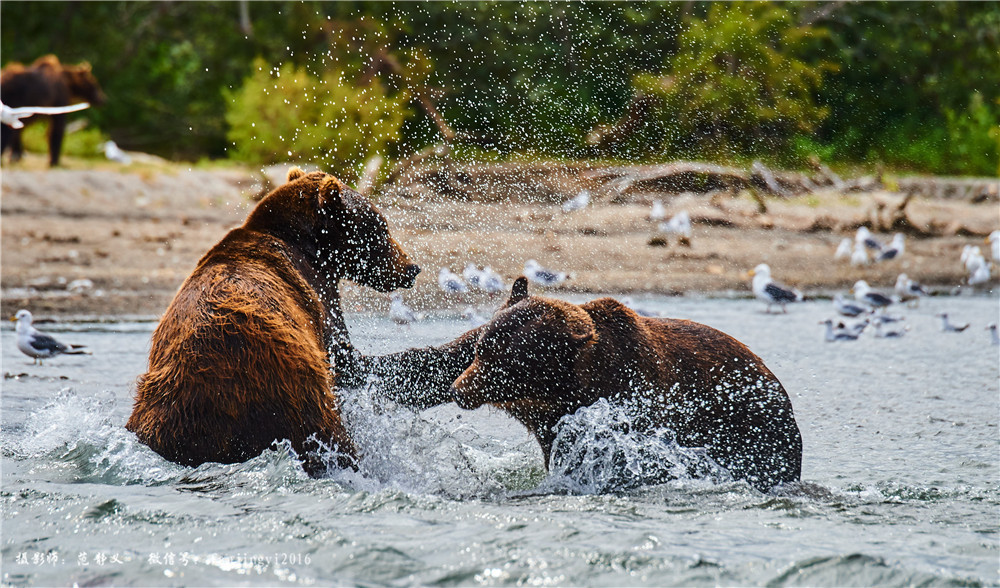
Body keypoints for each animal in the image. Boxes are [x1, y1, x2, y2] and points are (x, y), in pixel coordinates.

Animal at [125, 168, 422, 476]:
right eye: (380, 227)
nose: (412, 268)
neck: (305, 244)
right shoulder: (318, 297)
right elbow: (346, 356)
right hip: (293, 386)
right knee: (330, 436)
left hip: (164, 413)